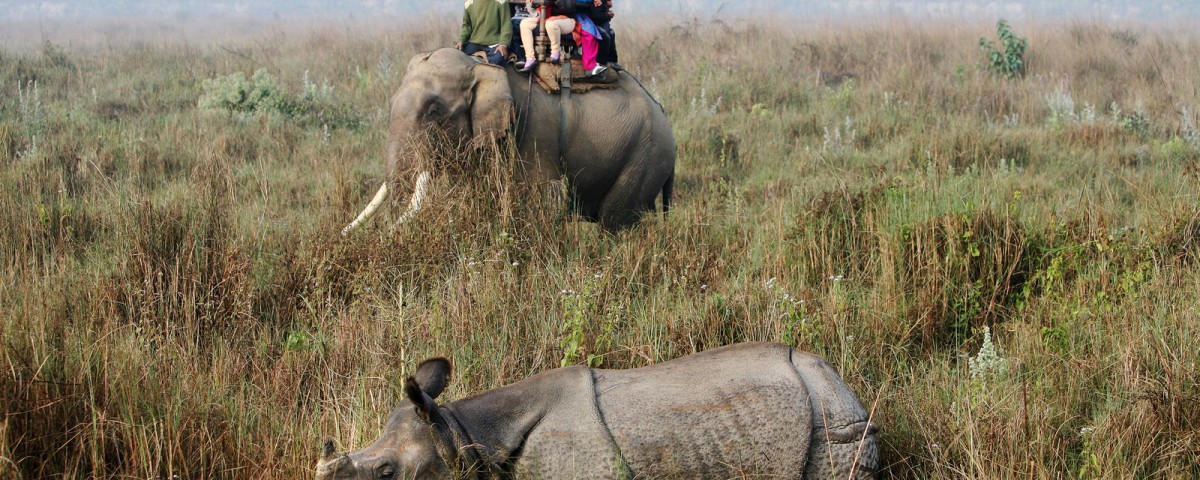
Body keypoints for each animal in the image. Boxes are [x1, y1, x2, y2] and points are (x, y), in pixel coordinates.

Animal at [343, 46, 676, 234]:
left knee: (615, 222)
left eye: (434, 110)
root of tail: (663, 112)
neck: (481, 66)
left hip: (644, 156)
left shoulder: (532, 130)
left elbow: (541, 197)